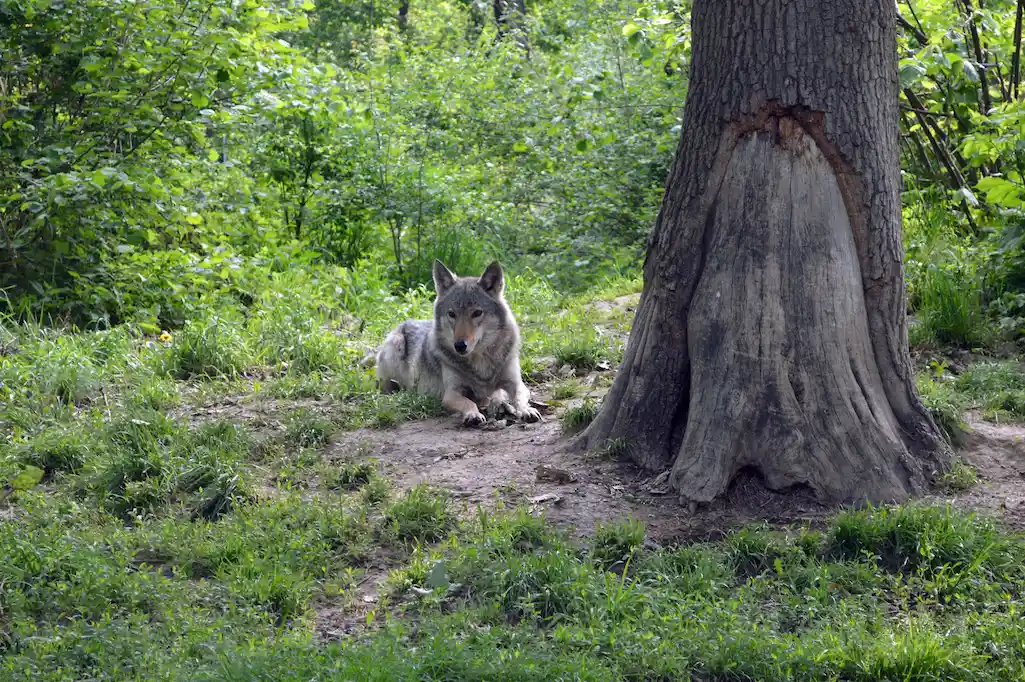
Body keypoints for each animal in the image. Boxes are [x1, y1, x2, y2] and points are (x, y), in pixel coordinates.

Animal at [371, 260, 541, 426]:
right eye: (452, 314)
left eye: (477, 313)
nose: (459, 345)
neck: (481, 365)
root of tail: (402, 323)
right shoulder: (451, 393)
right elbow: (468, 403)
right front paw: (473, 414)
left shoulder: (516, 384)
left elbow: (519, 398)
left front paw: (527, 410)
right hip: (396, 350)